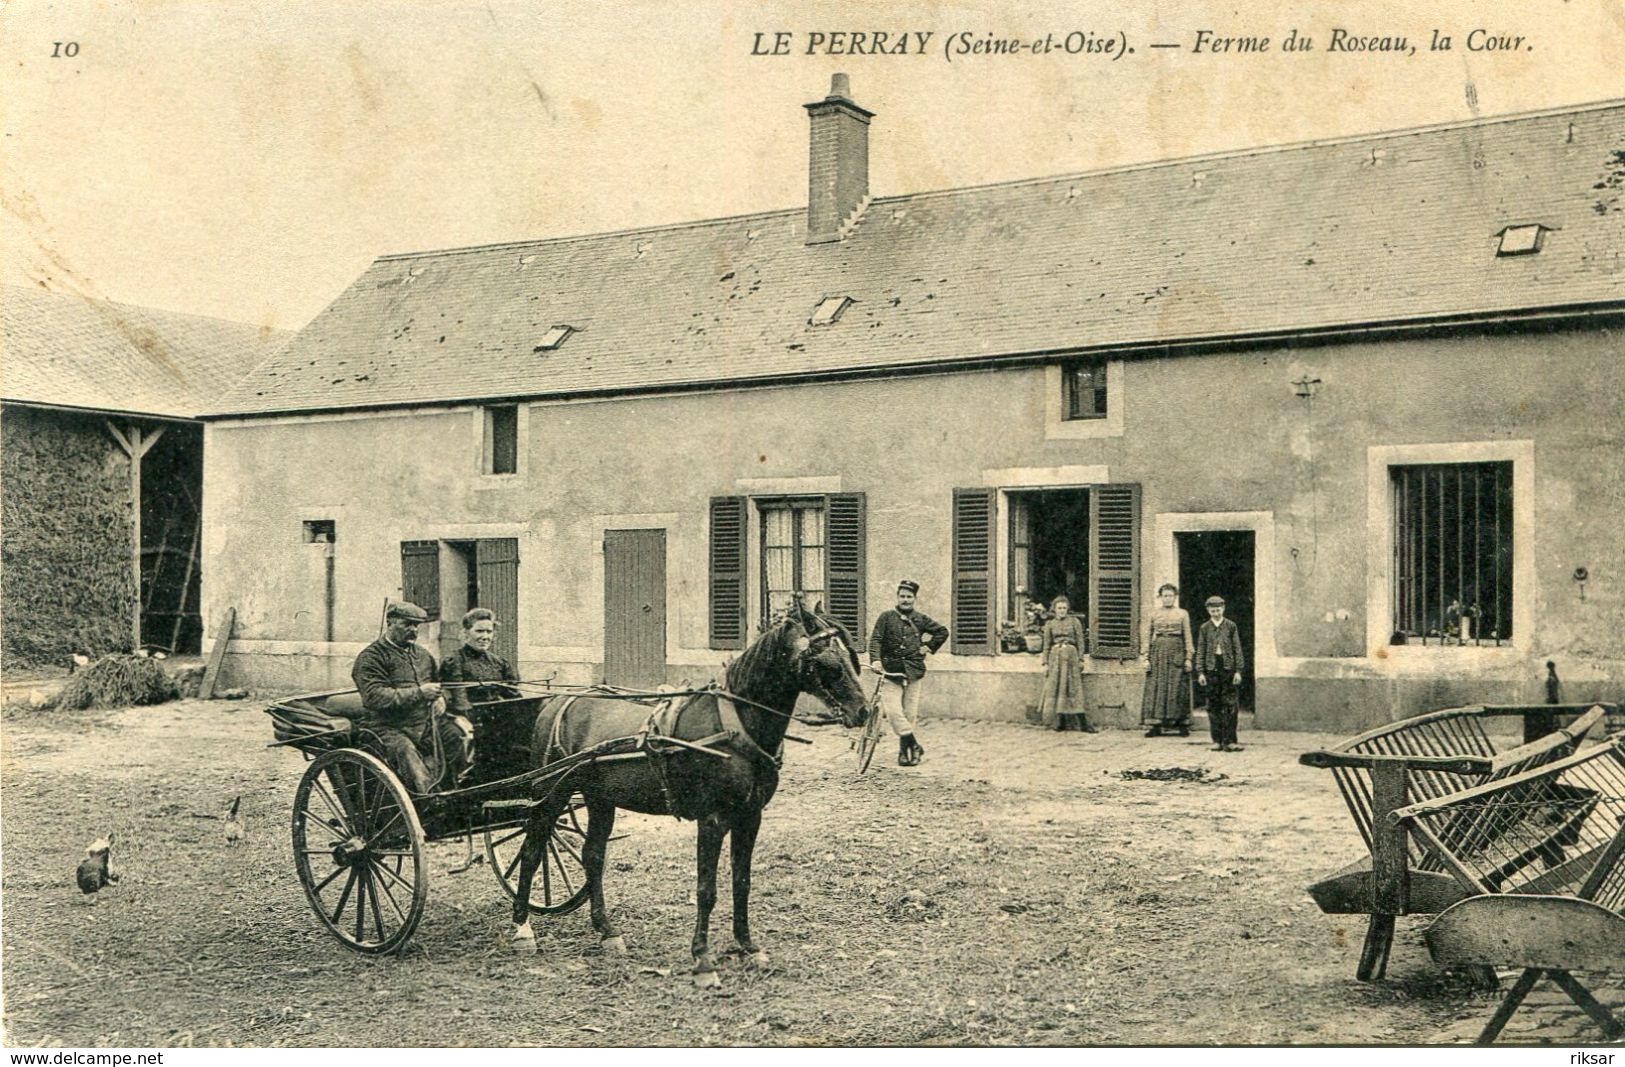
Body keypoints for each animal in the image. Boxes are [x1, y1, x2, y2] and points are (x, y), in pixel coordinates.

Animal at [507, 604, 871, 987]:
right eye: (826, 661)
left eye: (850, 655)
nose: (863, 710)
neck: (734, 727)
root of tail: (557, 701)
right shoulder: (712, 820)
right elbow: (706, 890)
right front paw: (703, 960)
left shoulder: (750, 816)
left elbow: (742, 882)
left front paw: (748, 947)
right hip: (550, 796)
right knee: (531, 852)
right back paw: (523, 928)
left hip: (600, 799)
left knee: (592, 856)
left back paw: (607, 931)